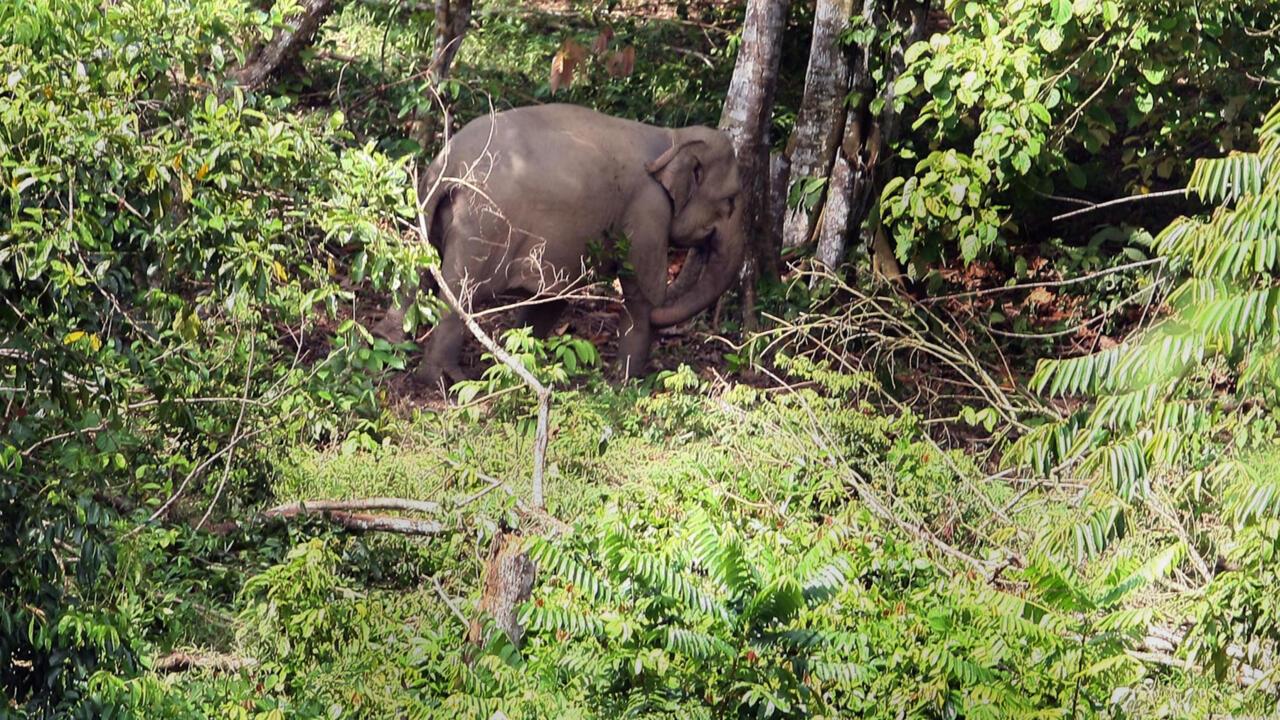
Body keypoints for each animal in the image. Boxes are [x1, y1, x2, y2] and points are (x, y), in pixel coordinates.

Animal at [394, 103, 747, 384]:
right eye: (730, 200)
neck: (672, 138)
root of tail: (450, 164)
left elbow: (551, 298)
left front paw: (522, 362)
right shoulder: (648, 211)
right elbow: (642, 295)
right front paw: (625, 383)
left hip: (429, 207)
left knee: (418, 273)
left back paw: (392, 343)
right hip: (483, 226)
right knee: (460, 292)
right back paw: (442, 379)